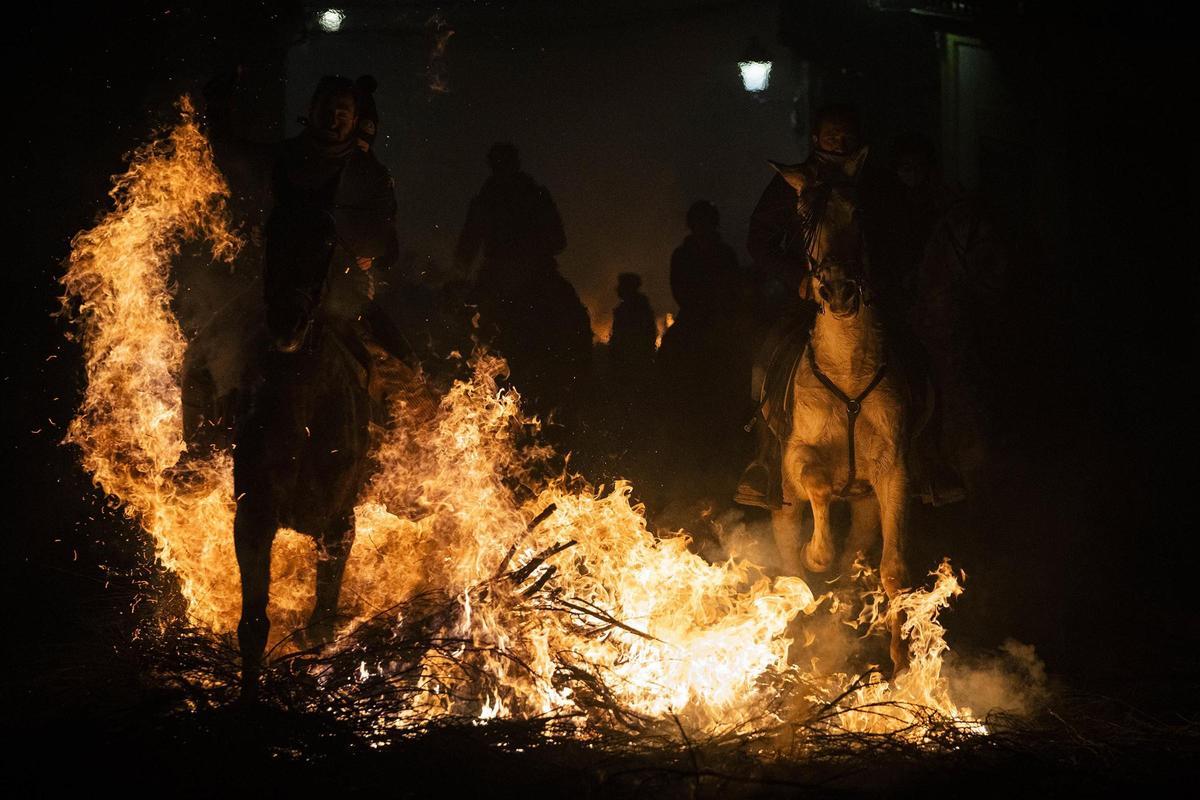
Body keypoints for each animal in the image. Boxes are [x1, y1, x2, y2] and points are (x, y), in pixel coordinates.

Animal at [230, 201, 369, 700]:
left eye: (327, 241)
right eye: (272, 231)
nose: (286, 320)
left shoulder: (339, 526)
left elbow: (321, 625)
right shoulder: (253, 517)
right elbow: (253, 625)